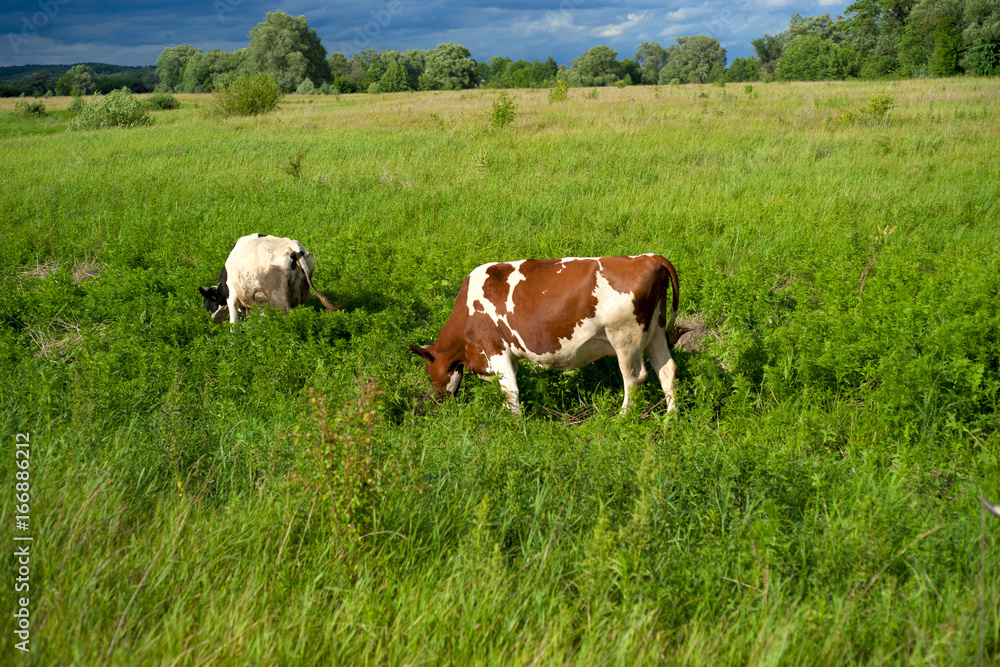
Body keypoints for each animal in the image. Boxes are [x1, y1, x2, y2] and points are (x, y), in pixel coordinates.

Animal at [200, 235, 340, 324]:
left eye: (208, 302)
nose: (211, 319)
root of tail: (294, 248)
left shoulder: (232, 296)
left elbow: (233, 323)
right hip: (304, 294)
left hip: (279, 297)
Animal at [410, 254, 684, 414]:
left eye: (428, 371)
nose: (438, 403)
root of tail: (649, 257)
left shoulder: (495, 348)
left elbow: (510, 391)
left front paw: (513, 425)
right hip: (656, 333)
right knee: (667, 371)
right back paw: (671, 418)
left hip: (625, 337)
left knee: (634, 379)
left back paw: (622, 418)